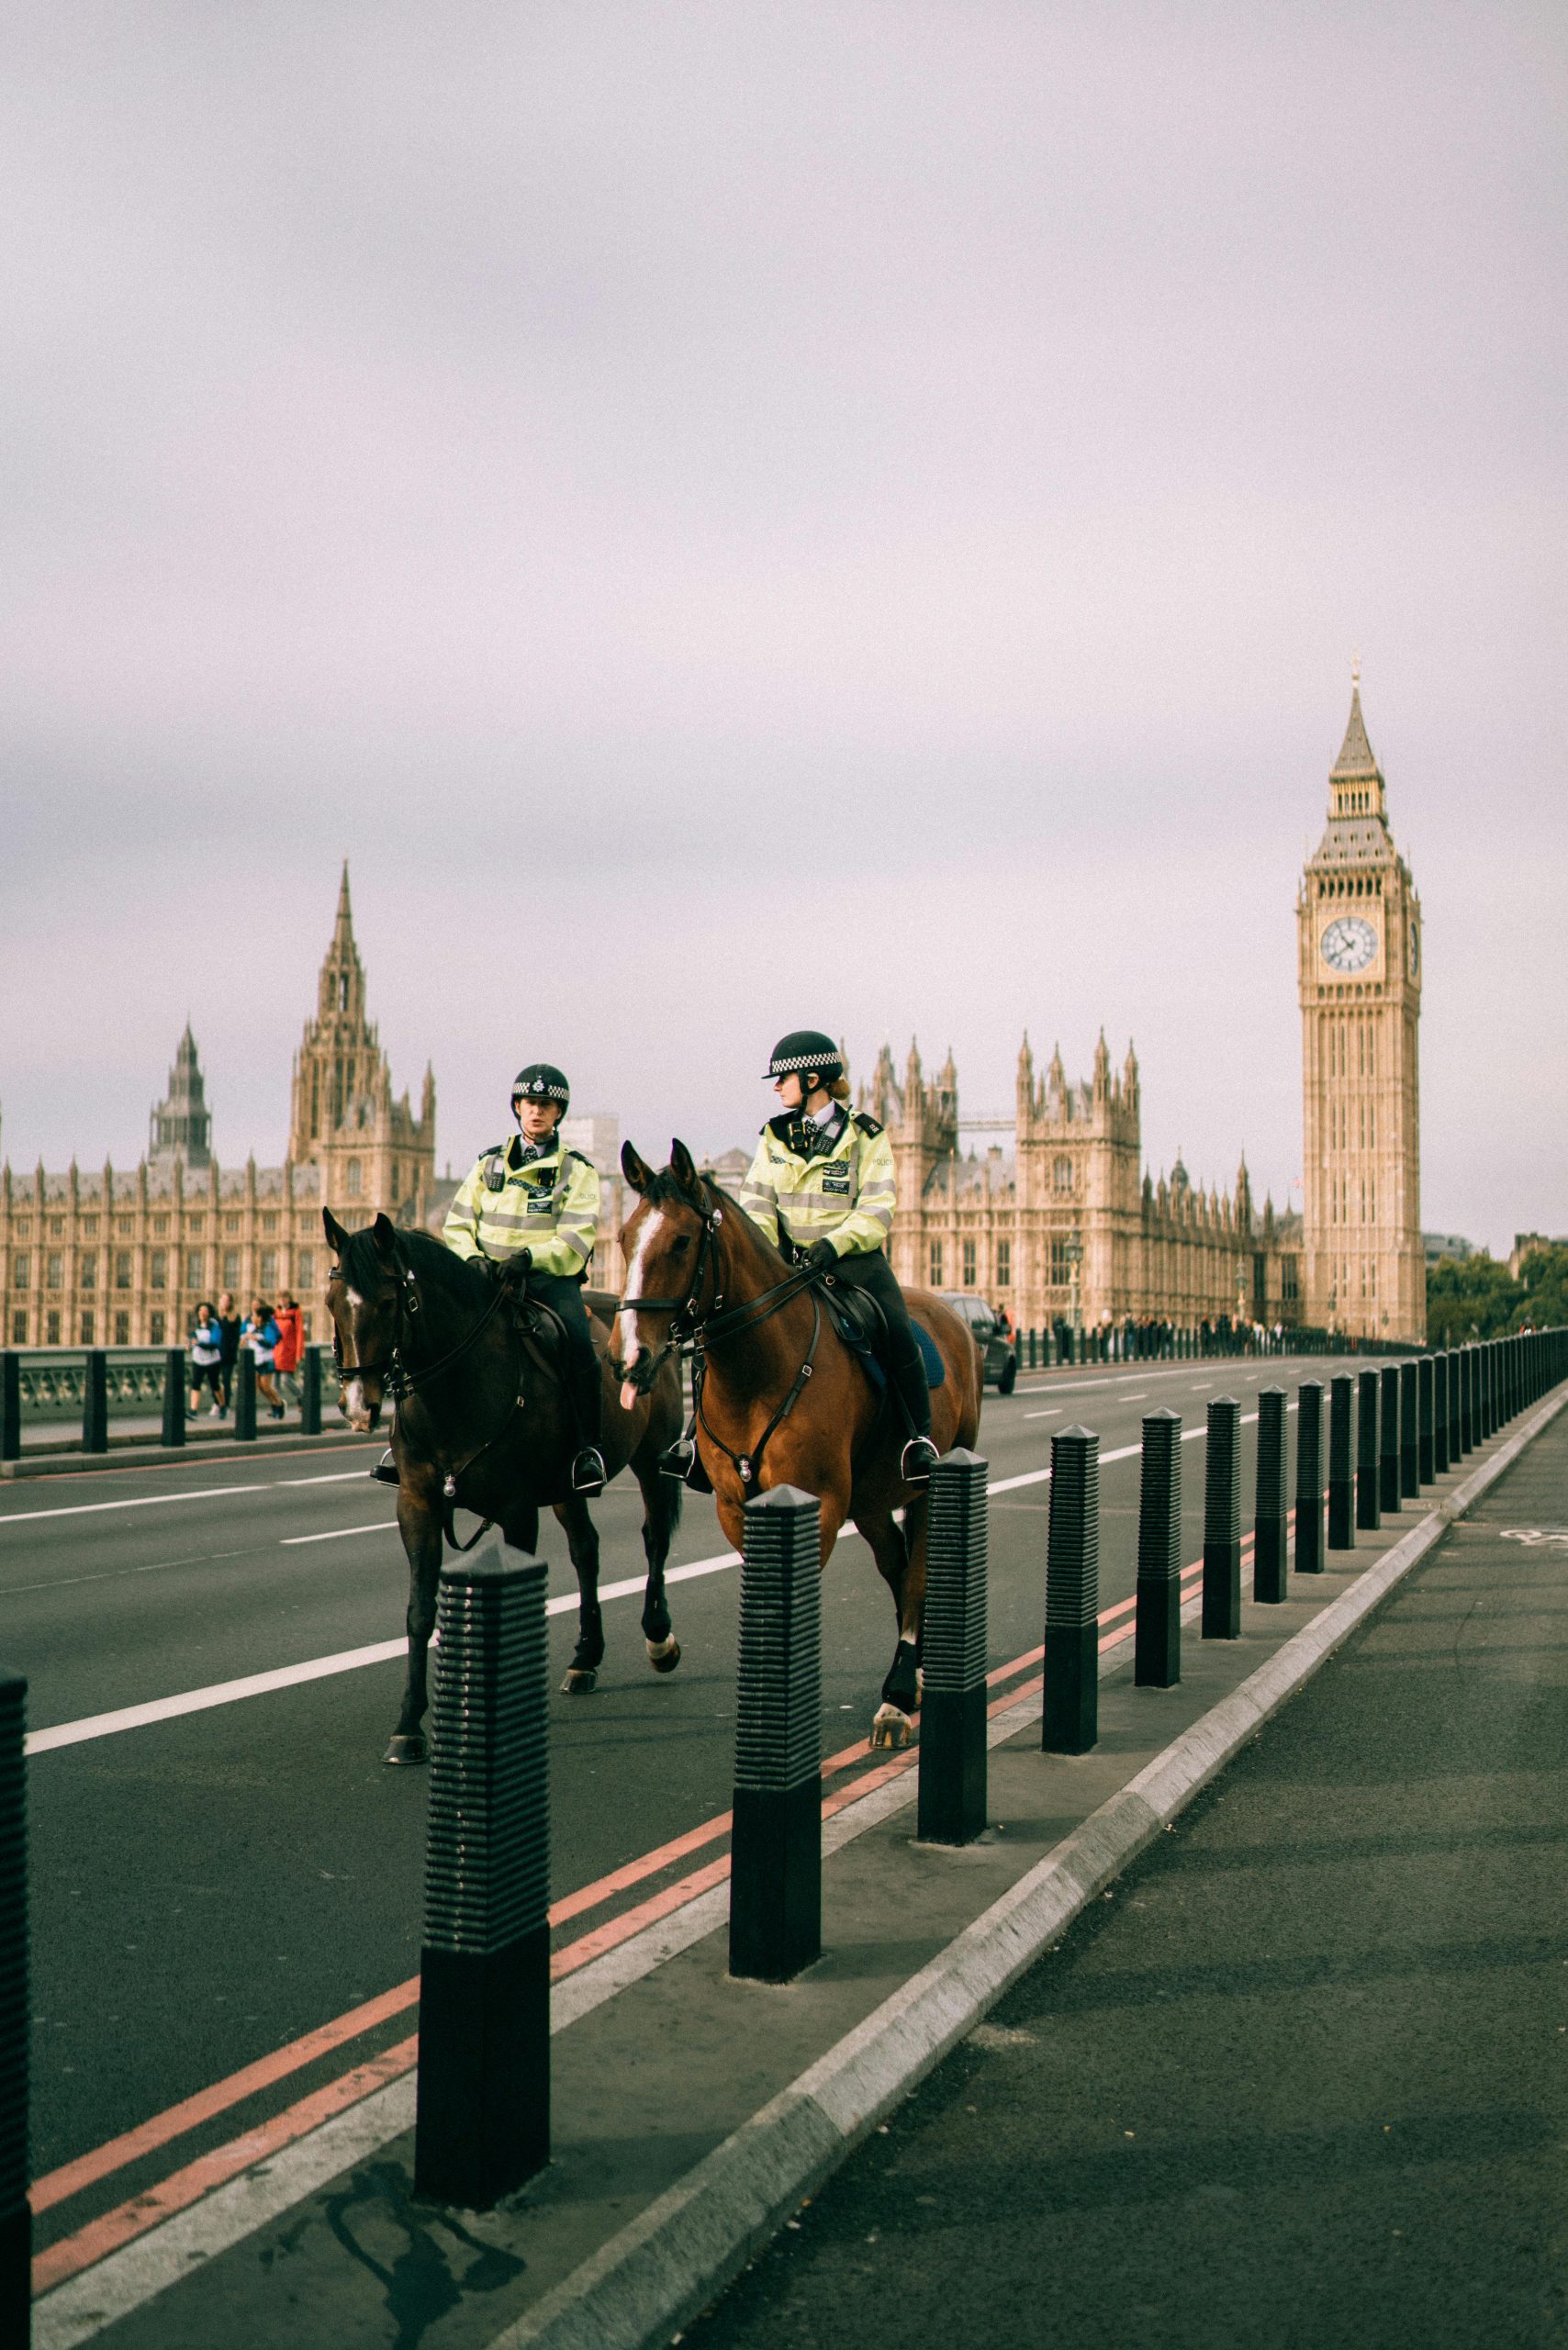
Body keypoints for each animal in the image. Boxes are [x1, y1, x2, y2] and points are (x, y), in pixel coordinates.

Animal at [321, 1212, 681, 1767]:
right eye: (331, 1303)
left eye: (388, 1302)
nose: (358, 1407)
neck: (455, 1391)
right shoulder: (417, 1504)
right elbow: (419, 1611)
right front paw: (408, 1727)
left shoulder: (516, 1510)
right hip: (567, 1487)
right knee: (586, 1550)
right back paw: (584, 1659)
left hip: (653, 1459)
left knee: (655, 1537)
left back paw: (659, 1638)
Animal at [610, 1137, 982, 1748]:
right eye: (623, 1237)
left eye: (682, 1241)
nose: (628, 1358)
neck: (756, 1376)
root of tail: (949, 1310)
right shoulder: (735, 1505)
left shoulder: (822, 1503)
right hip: (872, 1496)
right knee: (897, 1564)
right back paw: (915, 1674)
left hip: (933, 1477)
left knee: (918, 1571)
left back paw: (897, 1697)